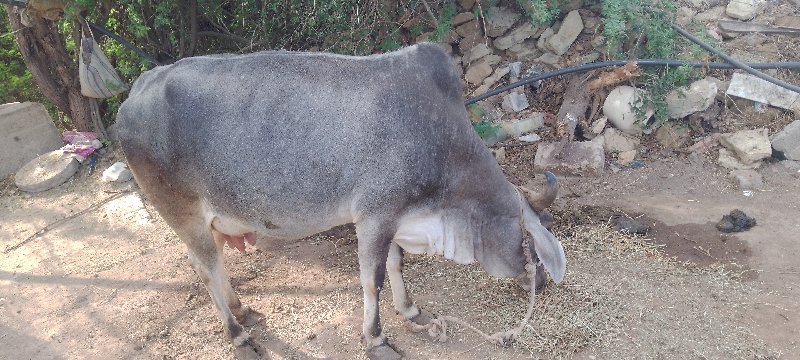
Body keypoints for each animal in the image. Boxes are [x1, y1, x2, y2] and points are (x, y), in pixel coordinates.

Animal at [117, 43, 568, 358]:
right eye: (535, 241)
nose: (544, 284)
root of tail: (136, 91)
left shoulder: (394, 219)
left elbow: (396, 265)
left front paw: (411, 312)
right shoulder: (374, 216)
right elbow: (373, 279)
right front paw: (377, 339)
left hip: (209, 220)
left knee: (213, 266)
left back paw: (242, 310)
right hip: (184, 213)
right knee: (207, 269)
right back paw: (239, 335)